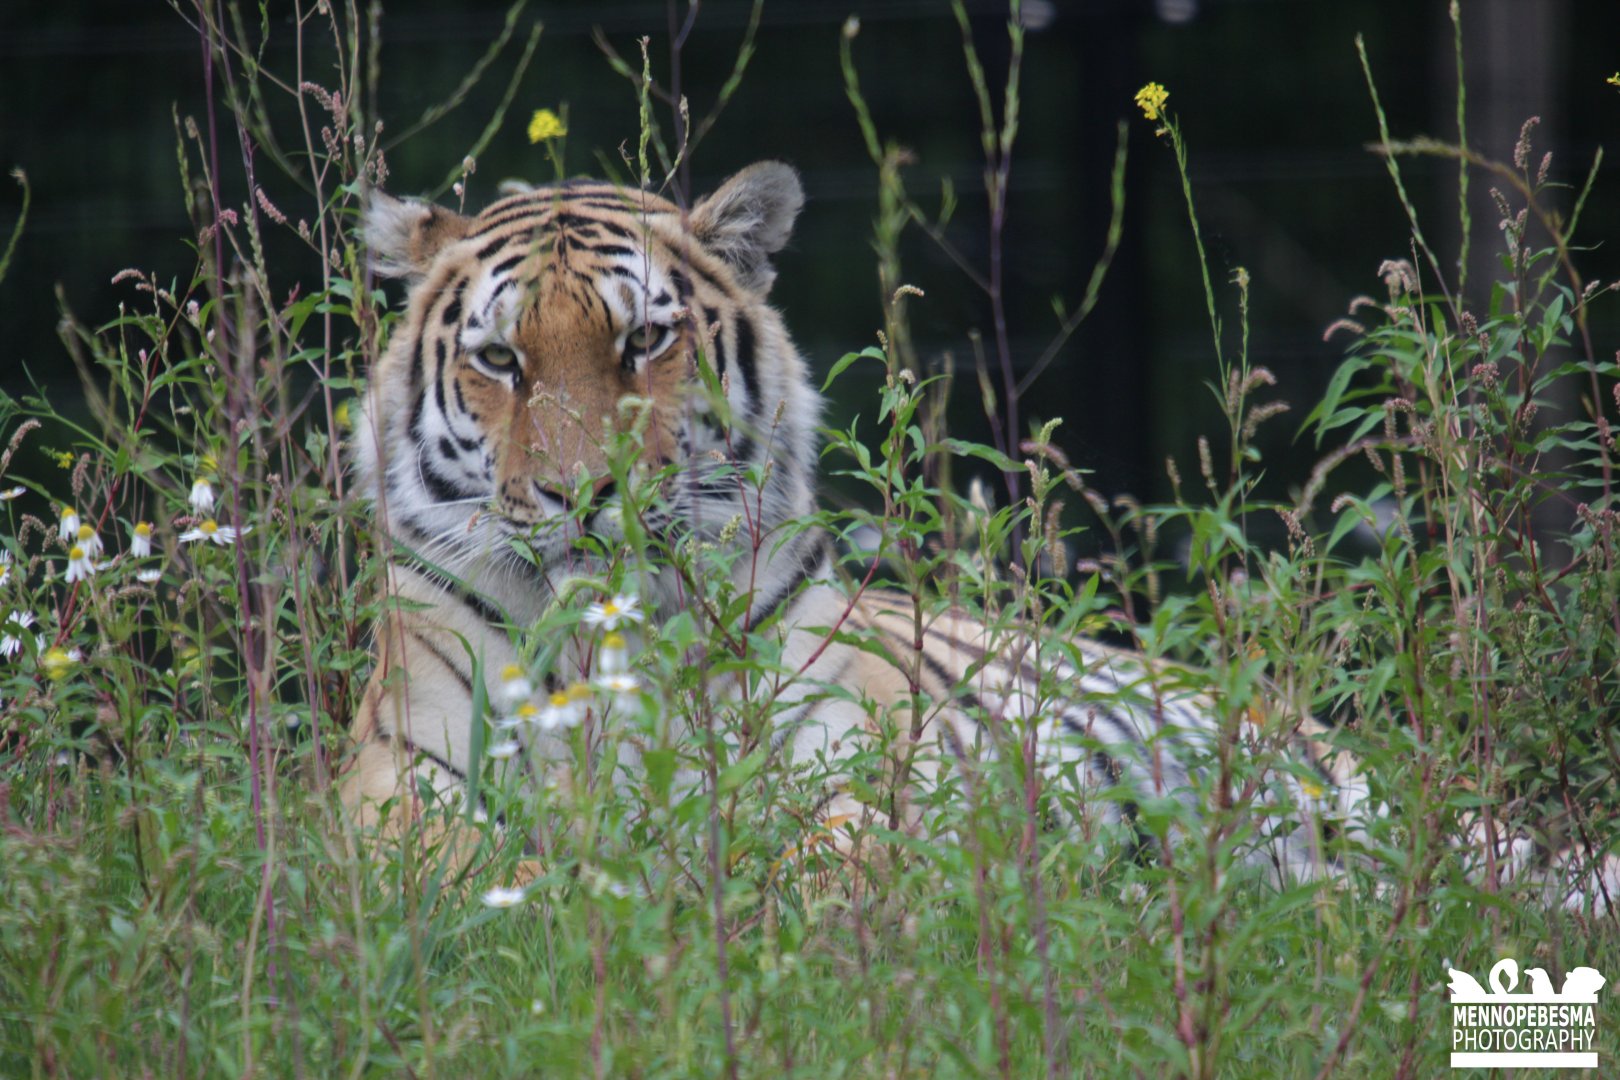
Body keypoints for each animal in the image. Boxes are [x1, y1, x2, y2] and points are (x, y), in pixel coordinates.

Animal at [342, 160, 1616, 910]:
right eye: (500, 359)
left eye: (643, 342)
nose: (580, 494)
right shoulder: (395, 785)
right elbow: (452, 861)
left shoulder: (856, 775)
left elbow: (817, 844)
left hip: (1365, 801)